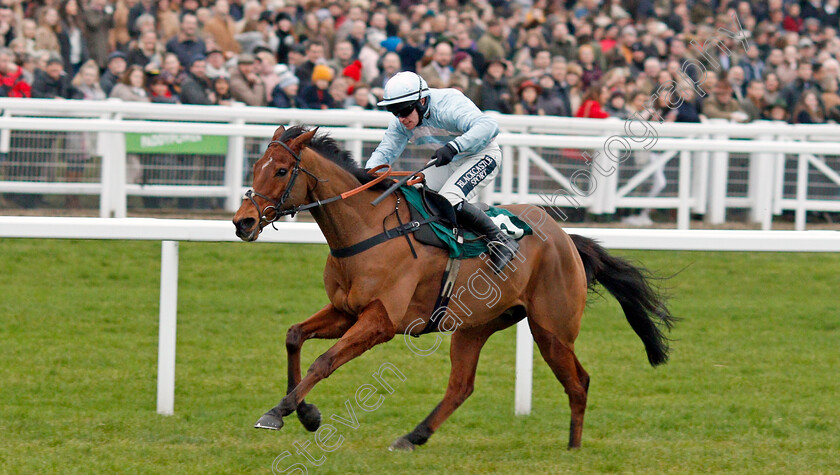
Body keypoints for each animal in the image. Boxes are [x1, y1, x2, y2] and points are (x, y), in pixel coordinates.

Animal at [231, 125, 676, 450]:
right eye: (255, 166)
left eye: (282, 170)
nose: (243, 222)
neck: (367, 229)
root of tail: (566, 239)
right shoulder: (345, 311)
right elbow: (294, 336)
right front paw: (303, 412)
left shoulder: (380, 321)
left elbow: (323, 361)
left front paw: (283, 411)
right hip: (475, 326)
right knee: (462, 386)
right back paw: (413, 437)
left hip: (552, 329)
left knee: (578, 381)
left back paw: (573, 448)